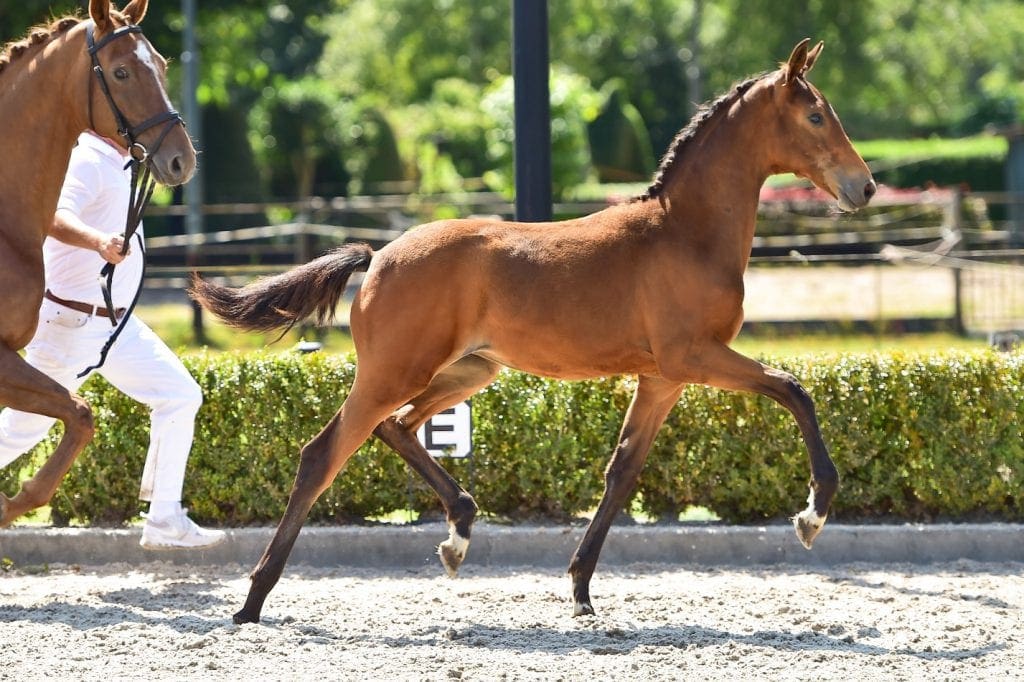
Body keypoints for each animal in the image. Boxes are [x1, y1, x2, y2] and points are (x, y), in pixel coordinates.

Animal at [191, 39, 876, 624]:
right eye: (816, 115)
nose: (865, 186)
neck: (685, 232)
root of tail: (378, 254)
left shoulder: (661, 378)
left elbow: (623, 471)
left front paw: (580, 589)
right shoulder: (695, 356)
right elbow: (792, 389)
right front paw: (813, 514)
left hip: (467, 370)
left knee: (397, 428)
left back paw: (459, 534)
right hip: (395, 372)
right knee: (323, 454)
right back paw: (253, 601)